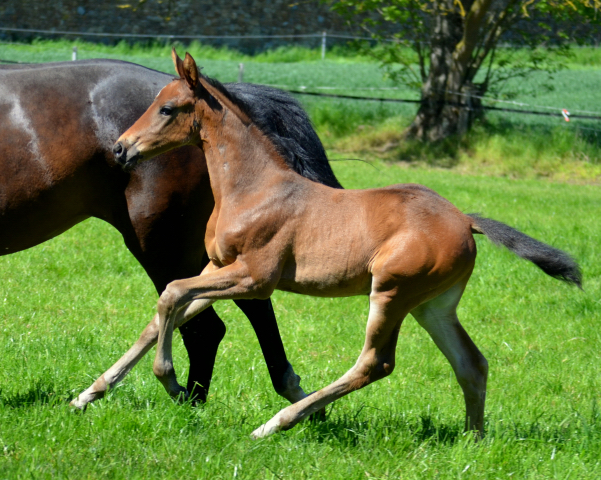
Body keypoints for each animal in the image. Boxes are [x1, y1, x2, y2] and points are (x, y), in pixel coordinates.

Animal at [0, 58, 342, 406]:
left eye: (166, 110)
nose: (120, 149)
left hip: (163, 246)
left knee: (204, 327)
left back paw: (188, 400)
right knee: (237, 309)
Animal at [113, 51, 580, 438]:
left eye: (167, 108)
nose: (120, 148)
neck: (254, 188)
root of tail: (464, 220)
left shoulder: (255, 278)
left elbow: (172, 294)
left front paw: (169, 380)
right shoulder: (217, 266)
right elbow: (165, 312)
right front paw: (98, 389)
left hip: (392, 291)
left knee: (375, 363)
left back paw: (276, 424)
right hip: (434, 305)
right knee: (472, 363)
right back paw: (473, 440)